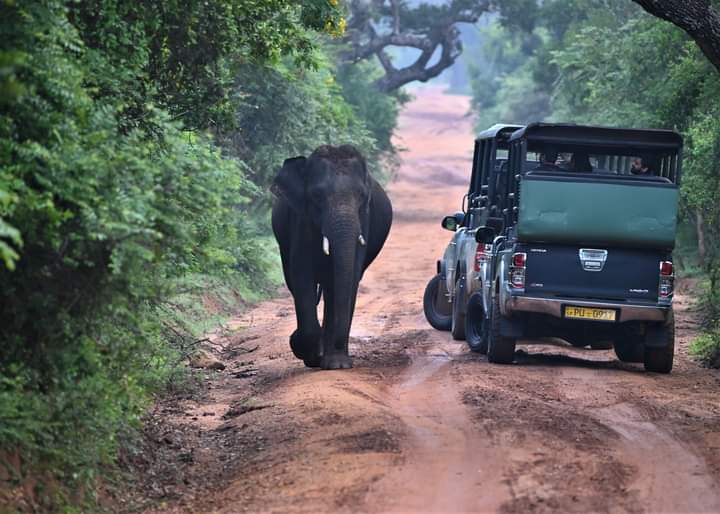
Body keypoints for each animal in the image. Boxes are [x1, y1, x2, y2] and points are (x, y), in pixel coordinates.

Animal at [271, 145, 393, 370]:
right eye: (317, 196)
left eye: (362, 196)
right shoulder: (301, 220)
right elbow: (302, 275)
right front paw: (305, 350)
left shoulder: (365, 219)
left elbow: (350, 277)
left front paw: (337, 365)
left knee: (332, 289)